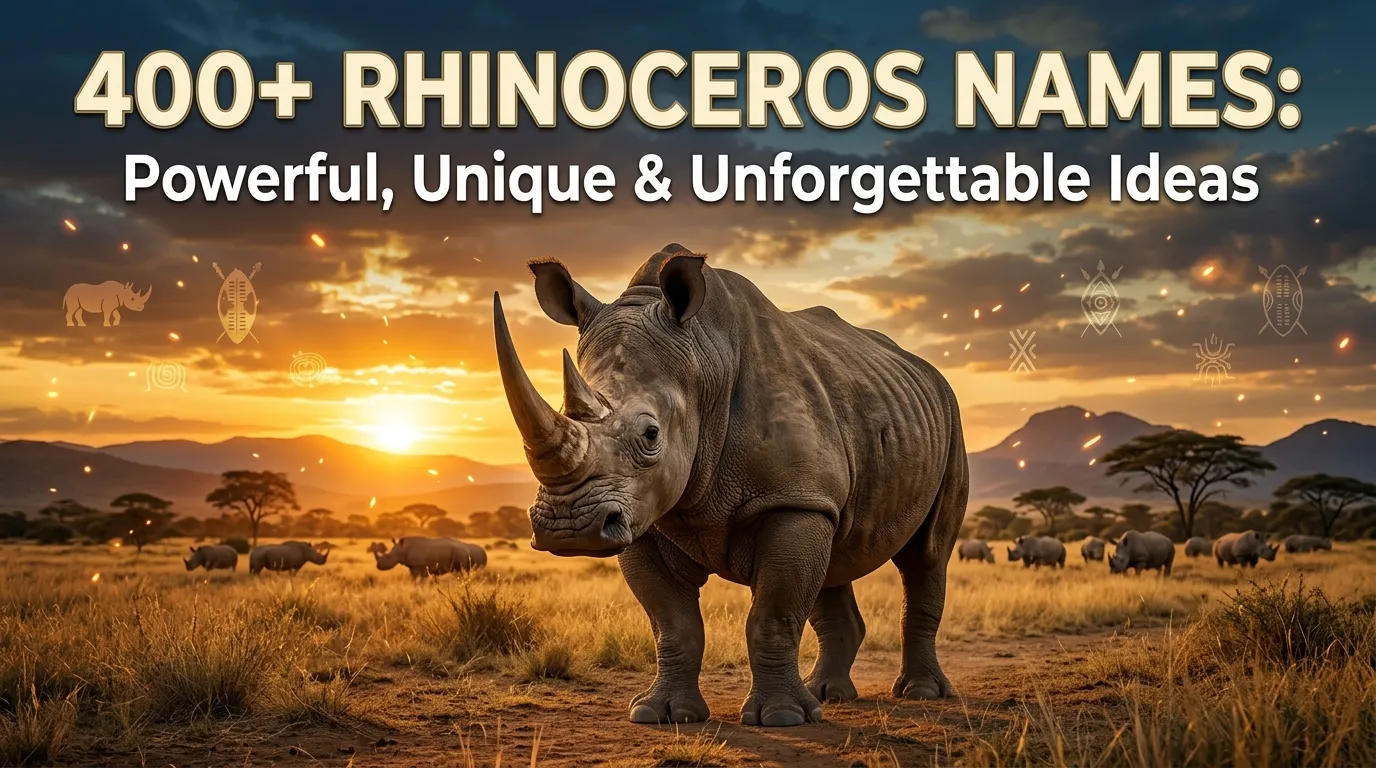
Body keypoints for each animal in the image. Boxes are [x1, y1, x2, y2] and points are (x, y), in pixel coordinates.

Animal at [493, 244, 968, 728]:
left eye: (651, 434)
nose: (568, 528)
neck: (704, 364)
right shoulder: (644, 514)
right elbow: (672, 623)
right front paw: (660, 713)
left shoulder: (789, 500)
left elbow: (773, 616)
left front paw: (781, 718)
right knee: (835, 553)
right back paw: (828, 696)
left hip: (948, 420)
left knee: (926, 555)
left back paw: (920, 693)